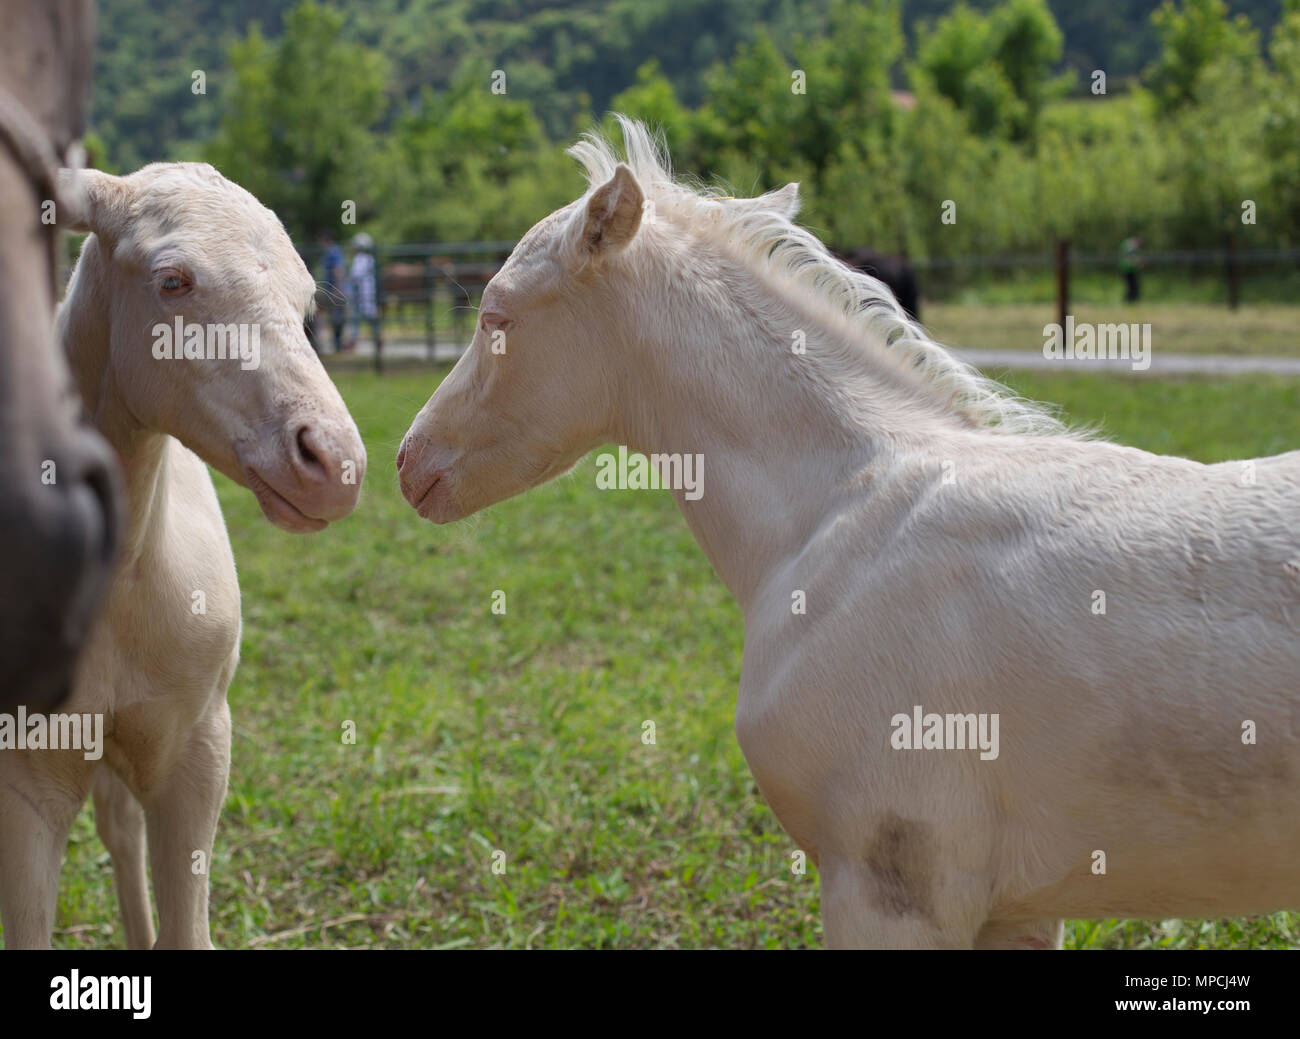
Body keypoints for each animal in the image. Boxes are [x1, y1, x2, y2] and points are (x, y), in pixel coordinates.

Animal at [1, 162, 366, 951]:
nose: (334, 464)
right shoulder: (25, 777)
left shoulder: (197, 746)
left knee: (120, 828)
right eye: (173, 280)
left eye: (305, 298)